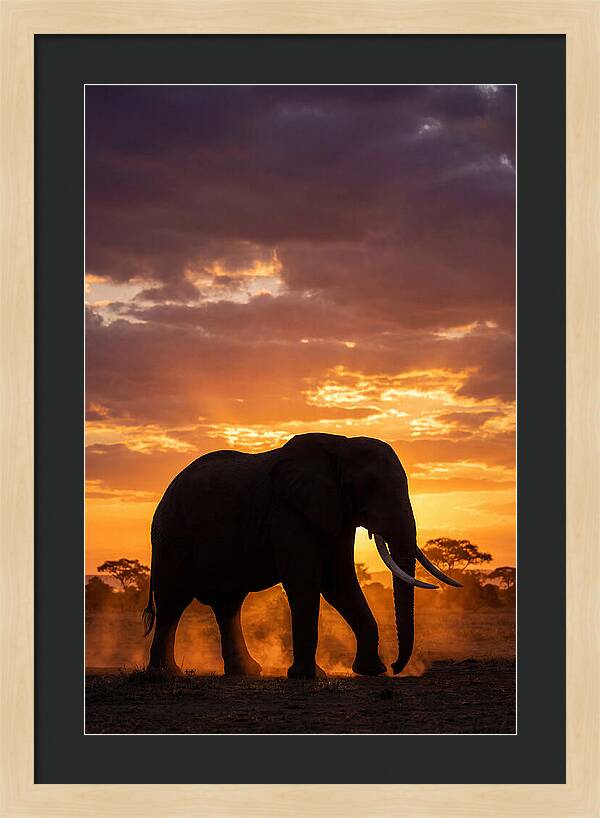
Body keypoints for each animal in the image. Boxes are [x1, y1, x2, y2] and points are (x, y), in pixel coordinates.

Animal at [143, 432, 460, 679]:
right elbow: (307, 583)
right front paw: (308, 676)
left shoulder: (335, 512)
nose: (396, 666)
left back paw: (246, 672)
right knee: (173, 602)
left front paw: (372, 671)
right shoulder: (287, 511)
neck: (340, 447)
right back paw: (164, 674)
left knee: (228, 605)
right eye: (368, 487)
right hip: (172, 535)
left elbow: (339, 582)